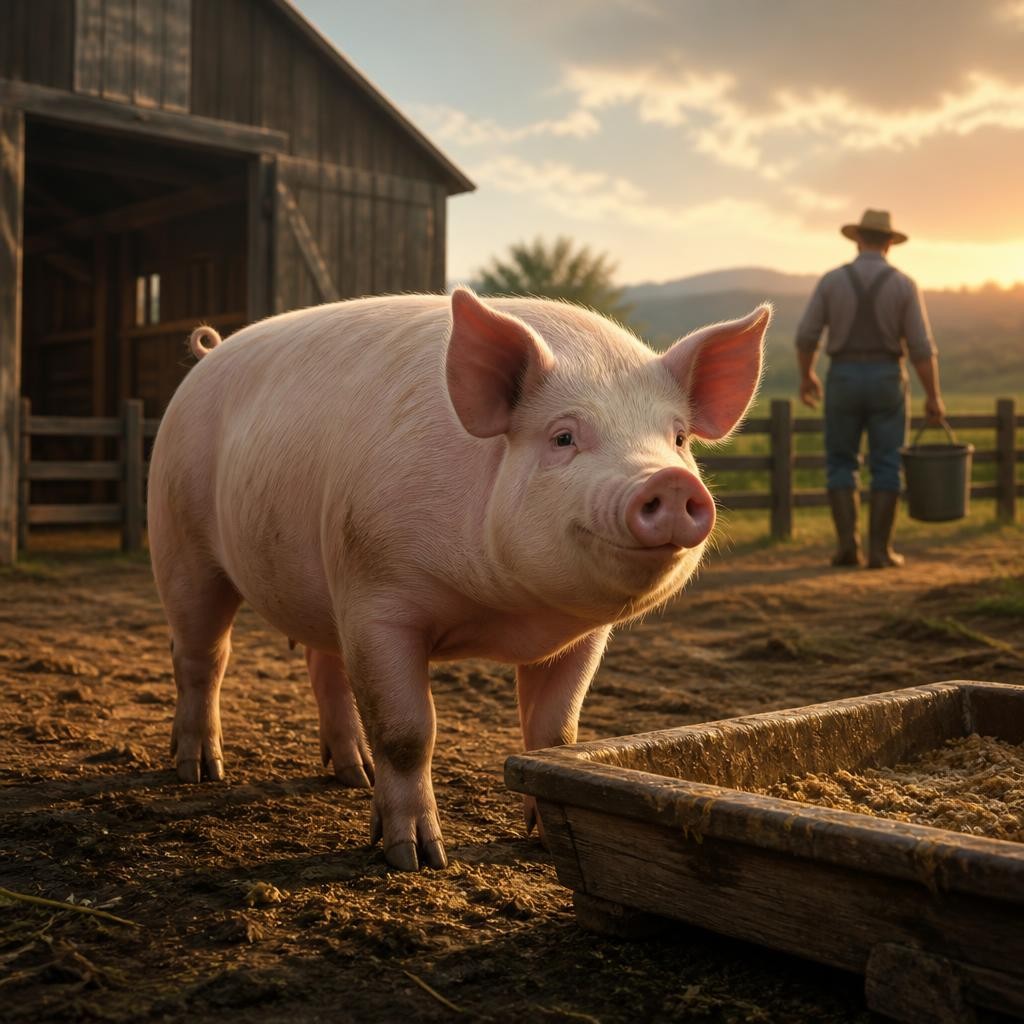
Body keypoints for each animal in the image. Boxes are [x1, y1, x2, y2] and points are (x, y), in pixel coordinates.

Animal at [148, 288, 769, 871]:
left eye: (679, 439)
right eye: (563, 437)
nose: (668, 481)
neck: (506, 613)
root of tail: (208, 355)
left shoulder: (584, 635)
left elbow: (555, 734)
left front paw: (542, 841)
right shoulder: (377, 595)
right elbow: (407, 731)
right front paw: (417, 858)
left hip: (320, 585)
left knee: (324, 666)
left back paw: (354, 775)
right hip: (180, 538)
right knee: (201, 654)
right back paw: (200, 772)